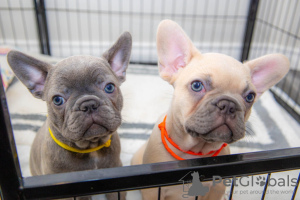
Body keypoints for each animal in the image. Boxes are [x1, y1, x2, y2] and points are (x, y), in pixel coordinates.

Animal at [132, 19, 290, 199]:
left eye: (250, 97)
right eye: (196, 85)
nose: (228, 105)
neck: (195, 151)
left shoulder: (217, 188)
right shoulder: (153, 192)